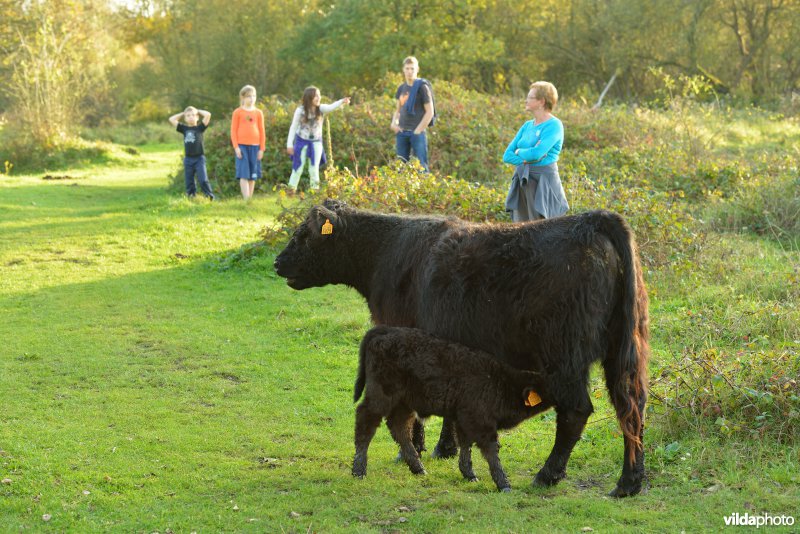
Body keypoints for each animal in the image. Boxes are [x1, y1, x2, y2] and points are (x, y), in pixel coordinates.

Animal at [276, 200, 648, 498]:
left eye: (304, 234)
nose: (277, 262)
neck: (386, 253)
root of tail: (593, 219)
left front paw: (416, 450)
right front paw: (445, 449)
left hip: (564, 357)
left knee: (576, 411)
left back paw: (547, 475)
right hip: (623, 353)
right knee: (631, 407)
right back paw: (628, 483)